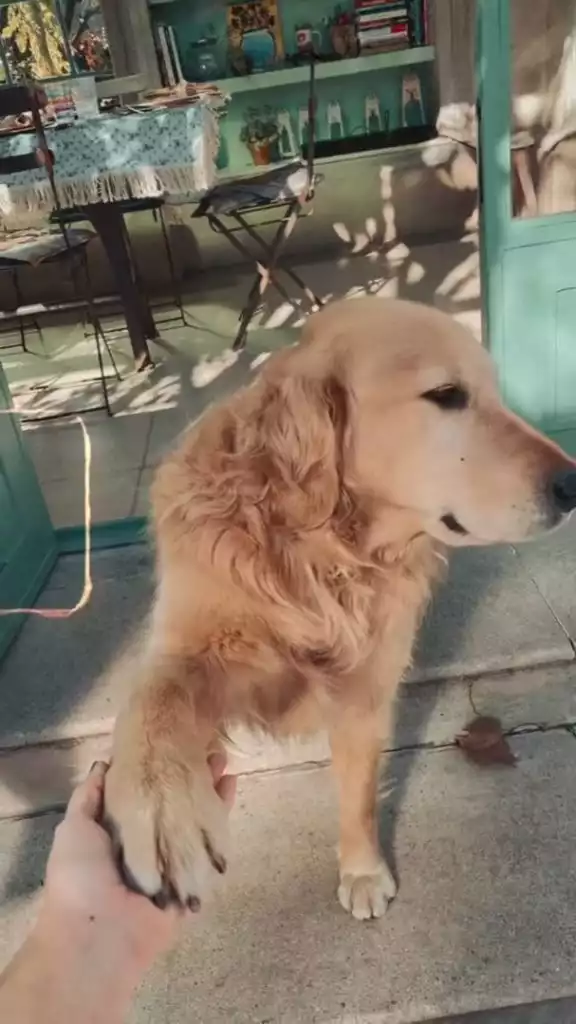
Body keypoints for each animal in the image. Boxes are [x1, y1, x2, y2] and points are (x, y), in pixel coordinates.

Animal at [103, 297, 576, 921]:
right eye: (447, 393)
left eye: (497, 393)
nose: (575, 483)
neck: (322, 550)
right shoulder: (196, 641)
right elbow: (157, 702)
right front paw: (162, 811)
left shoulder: (366, 685)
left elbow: (359, 789)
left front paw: (362, 870)